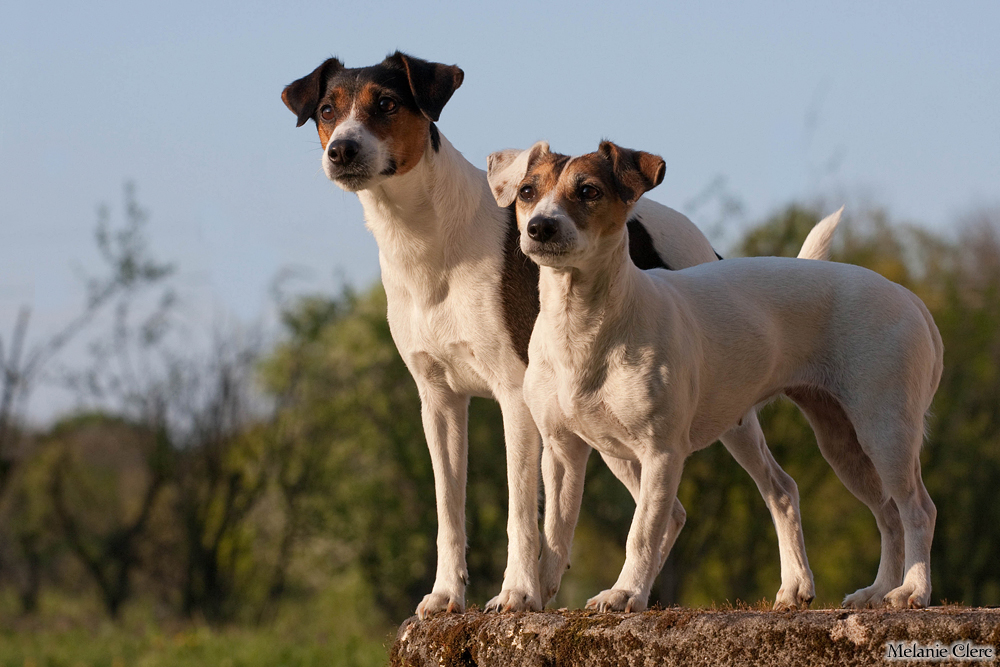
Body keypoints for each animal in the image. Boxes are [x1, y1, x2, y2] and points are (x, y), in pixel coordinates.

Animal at [280, 52, 828, 616]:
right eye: (327, 110)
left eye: (386, 104)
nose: (341, 150)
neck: (429, 241)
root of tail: (706, 246)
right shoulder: (439, 400)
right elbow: (449, 510)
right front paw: (447, 593)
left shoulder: (515, 397)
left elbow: (522, 513)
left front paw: (517, 592)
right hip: (608, 434)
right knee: (672, 511)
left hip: (720, 410)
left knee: (777, 487)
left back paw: (789, 586)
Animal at [490, 140, 944, 612]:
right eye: (526, 191)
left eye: (589, 191)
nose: (540, 227)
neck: (583, 326)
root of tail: (910, 299)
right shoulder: (561, 450)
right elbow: (555, 532)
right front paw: (529, 595)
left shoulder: (661, 453)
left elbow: (641, 532)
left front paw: (625, 592)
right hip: (831, 442)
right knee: (849, 505)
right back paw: (861, 590)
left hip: (884, 434)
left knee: (917, 510)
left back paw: (911, 590)